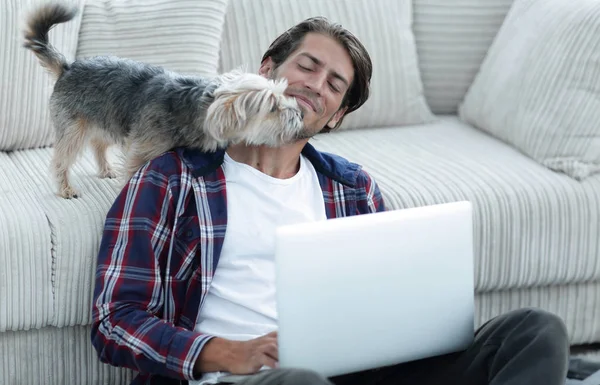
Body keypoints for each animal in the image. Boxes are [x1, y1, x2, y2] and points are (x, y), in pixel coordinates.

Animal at [23, 0, 304, 198]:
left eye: (285, 96)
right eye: (272, 107)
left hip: (107, 119)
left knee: (98, 143)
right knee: (62, 158)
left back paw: (105, 168)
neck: (196, 103)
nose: (300, 114)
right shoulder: (140, 152)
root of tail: (68, 67)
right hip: (74, 128)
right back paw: (65, 188)